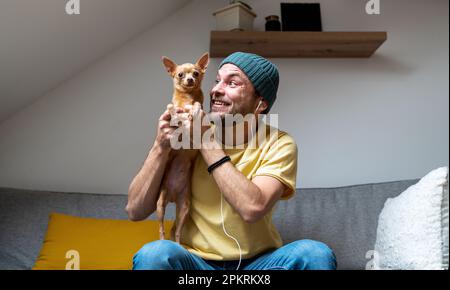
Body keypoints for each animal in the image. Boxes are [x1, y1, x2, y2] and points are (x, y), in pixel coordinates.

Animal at [156, 52, 209, 242]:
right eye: (180, 74)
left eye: (196, 73)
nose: (190, 80)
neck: (187, 97)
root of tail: (172, 197)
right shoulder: (171, 107)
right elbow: (171, 106)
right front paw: (175, 113)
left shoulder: (199, 106)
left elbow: (197, 105)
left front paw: (193, 110)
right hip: (160, 204)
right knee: (162, 228)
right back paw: (162, 241)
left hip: (184, 208)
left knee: (178, 231)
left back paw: (178, 244)